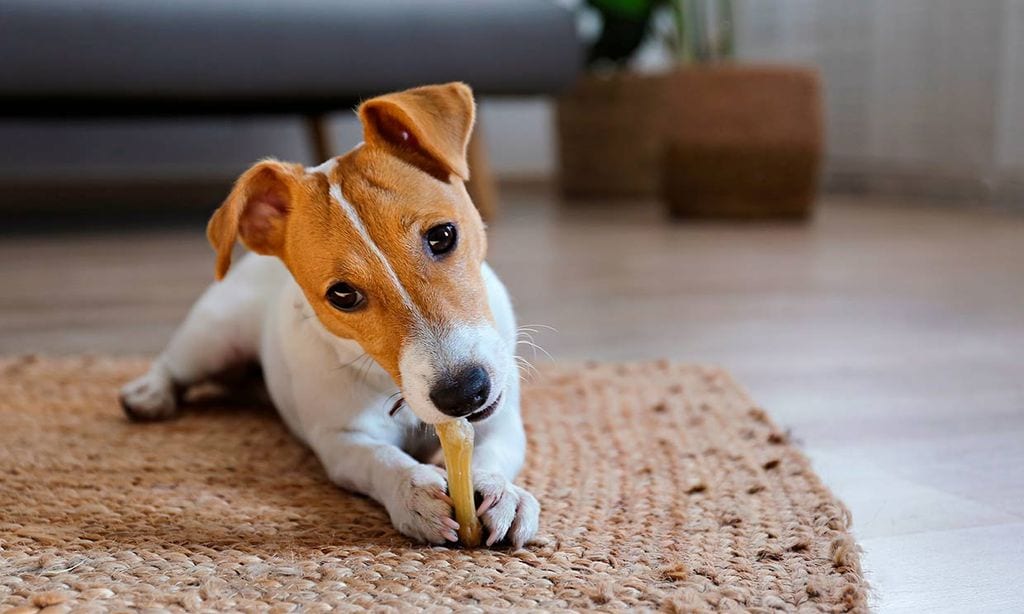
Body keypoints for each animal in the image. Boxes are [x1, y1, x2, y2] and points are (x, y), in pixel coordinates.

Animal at [118, 81, 540, 548]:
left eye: (443, 235)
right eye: (343, 295)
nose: (464, 393)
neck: (390, 386)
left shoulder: (500, 419)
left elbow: (495, 450)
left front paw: (503, 493)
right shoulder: (340, 441)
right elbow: (379, 458)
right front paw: (413, 490)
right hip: (214, 338)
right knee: (172, 364)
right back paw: (148, 393)